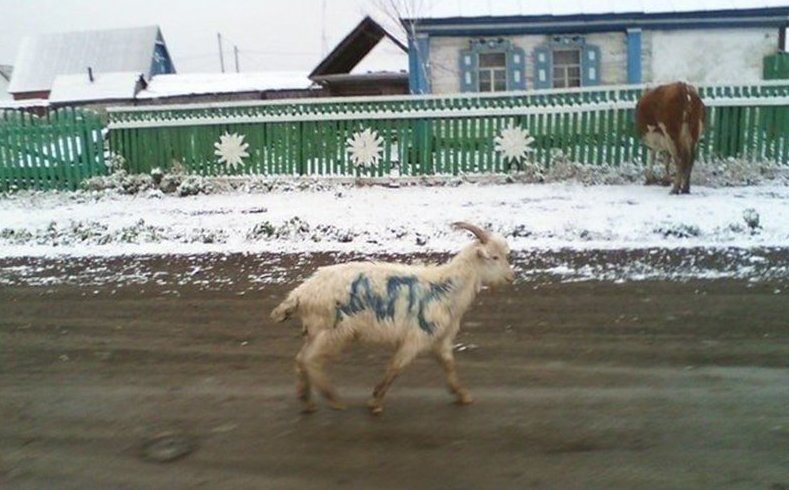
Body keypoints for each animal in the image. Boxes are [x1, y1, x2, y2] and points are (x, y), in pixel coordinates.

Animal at [270, 222, 516, 414]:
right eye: (494, 257)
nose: (510, 277)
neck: (447, 286)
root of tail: (300, 294)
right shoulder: (416, 337)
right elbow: (396, 367)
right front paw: (375, 401)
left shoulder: (441, 339)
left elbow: (449, 366)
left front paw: (463, 395)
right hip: (333, 331)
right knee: (310, 360)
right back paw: (333, 399)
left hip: (316, 331)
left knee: (301, 358)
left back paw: (307, 400)